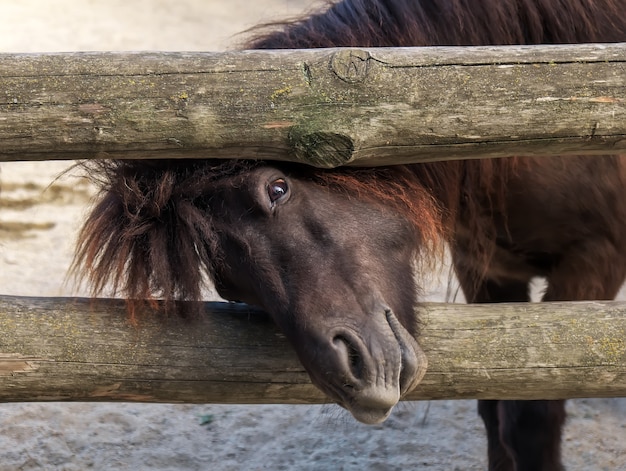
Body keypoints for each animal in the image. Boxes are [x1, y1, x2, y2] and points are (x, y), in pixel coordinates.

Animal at [75, 0, 624, 471]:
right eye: (229, 287)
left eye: (277, 188)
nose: (354, 376)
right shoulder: (485, 268)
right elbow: (496, 410)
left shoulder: (594, 260)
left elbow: (531, 417)